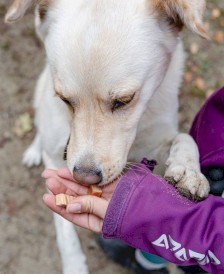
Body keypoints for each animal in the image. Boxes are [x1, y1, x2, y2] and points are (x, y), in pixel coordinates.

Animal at [5, 1, 210, 272]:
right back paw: (34, 149)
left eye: (124, 100)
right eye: (64, 99)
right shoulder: (56, 159)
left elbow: (184, 139)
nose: (84, 177)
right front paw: (74, 265)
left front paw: (189, 172)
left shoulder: (157, 140)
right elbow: (65, 233)